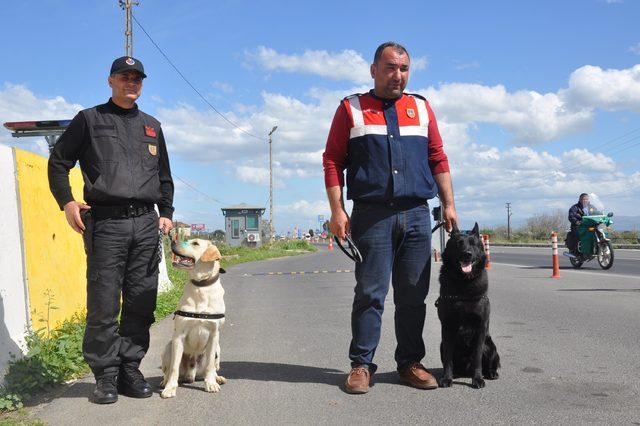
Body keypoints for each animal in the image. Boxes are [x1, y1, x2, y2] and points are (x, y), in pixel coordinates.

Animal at [160, 238, 228, 398]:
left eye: (195, 243)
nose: (172, 240)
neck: (201, 287)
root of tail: (191, 373)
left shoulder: (214, 335)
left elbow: (210, 365)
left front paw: (211, 384)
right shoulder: (179, 335)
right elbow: (174, 368)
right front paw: (170, 388)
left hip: (218, 349)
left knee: (213, 367)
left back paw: (217, 378)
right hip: (168, 347)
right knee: (167, 370)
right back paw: (164, 382)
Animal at [436, 223, 500, 390]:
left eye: (473, 244)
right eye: (459, 243)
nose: (467, 254)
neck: (463, 283)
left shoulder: (480, 328)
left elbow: (477, 358)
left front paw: (477, 379)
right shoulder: (447, 327)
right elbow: (448, 359)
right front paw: (447, 378)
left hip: (490, 346)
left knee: (490, 363)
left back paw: (491, 373)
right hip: (441, 345)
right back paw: (455, 374)